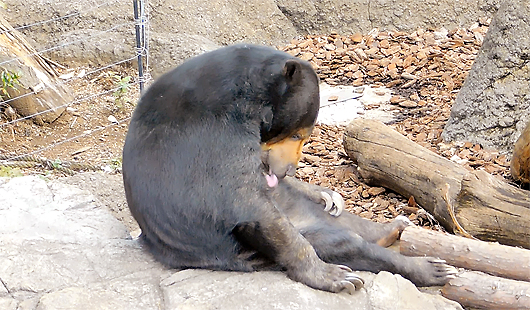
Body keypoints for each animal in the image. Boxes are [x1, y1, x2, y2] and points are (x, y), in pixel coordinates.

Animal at [120, 43, 454, 294]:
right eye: (296, 134)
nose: (289, 169)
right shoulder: (215, 134)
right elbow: (244, 202)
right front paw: (333, 276)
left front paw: (326, 194)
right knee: (343, 242)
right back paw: (431, 268)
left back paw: (391, 227)